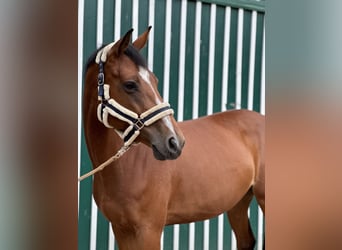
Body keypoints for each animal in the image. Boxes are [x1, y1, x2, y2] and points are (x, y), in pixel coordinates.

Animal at [83, 26, 264, 249]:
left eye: (155, 81)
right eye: (130, 84)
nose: (175, 142)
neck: (126, 166)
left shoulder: (149, 231)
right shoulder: (121, 229)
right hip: (238, 202)